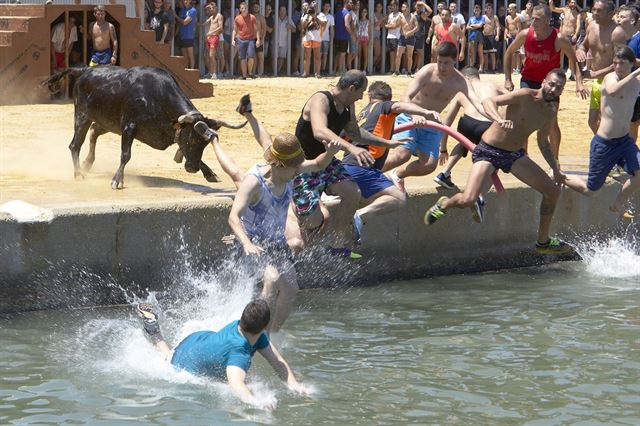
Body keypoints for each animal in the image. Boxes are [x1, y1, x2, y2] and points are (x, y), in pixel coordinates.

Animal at [42, 65, 246, 189]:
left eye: (204, 144)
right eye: (192, 139)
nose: (192, 169)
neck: (158, 96)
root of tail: (84, 70)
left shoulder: (168, 132)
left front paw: (210, 173)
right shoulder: (129, 127)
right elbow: (126, 155)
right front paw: (117, 180)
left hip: (107, 122)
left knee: (93, 132)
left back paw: (87, 164)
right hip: (82, 116)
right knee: (75, 144)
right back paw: (78, 174)